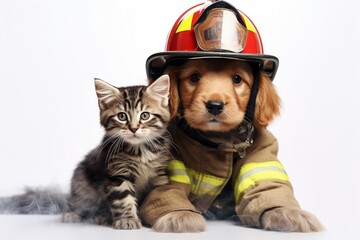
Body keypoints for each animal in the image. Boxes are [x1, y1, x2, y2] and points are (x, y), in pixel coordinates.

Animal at [62, 75, 172, 229]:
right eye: (122, 116)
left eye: (145, 116)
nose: (133, 128)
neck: (140, 151)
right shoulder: (117, 174)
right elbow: (123, 199)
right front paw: (127, 219)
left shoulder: (159, 173)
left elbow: (158, 194)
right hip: (81, 182)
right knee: (82, 203)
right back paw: (75, 215)